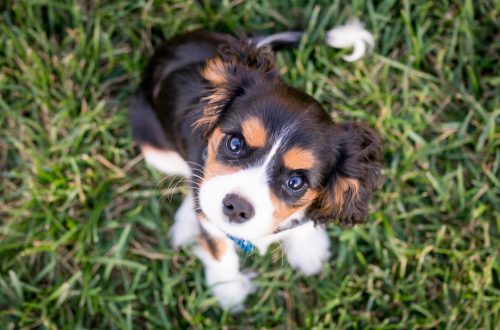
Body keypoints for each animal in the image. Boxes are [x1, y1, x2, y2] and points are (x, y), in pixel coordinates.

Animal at [129, 21, 382, 310]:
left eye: (296, 182)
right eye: (235, 143)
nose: (237, 207)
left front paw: (308, 250)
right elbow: (219, 249)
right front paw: (228, 292)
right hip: (155, 147)